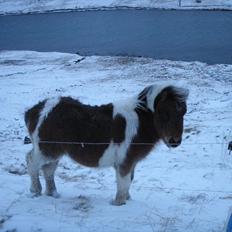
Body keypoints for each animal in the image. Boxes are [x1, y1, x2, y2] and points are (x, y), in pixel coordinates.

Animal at [25, 84, 188, 206]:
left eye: (183, 113)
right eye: (163, 113)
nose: (175, 141)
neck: (140, 123)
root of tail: (36, 110)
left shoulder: (131, 162)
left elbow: (129, 180)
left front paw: (127, 200)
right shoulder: (124, 162)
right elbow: (123, 182)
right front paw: (119, 203)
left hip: (54, 152)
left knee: (48, 170)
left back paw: (53, 193)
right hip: (46, 149)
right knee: (32, 162)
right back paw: (35, 190)